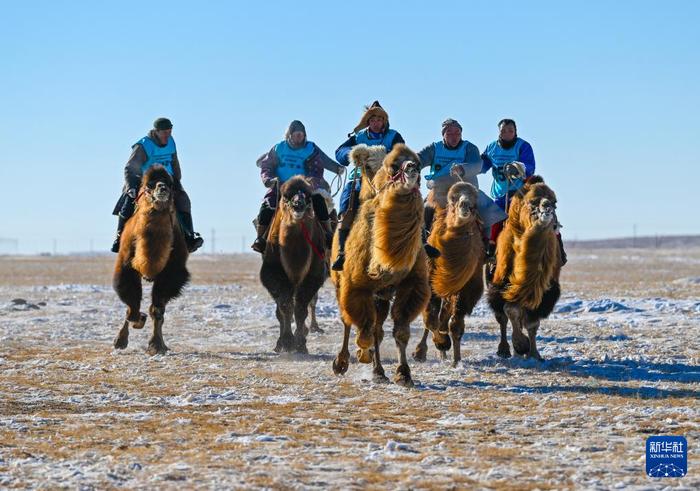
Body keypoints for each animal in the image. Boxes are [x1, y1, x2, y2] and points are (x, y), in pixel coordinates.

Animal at [113, 167, 190, 356]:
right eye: (149, 185)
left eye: (169, 183)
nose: (162, 188)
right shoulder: (126, 266)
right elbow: (131, 305)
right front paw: (124, 337)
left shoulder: (172, 272)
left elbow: (157, 309)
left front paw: (156, 345)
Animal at [260, 177, 328, 354]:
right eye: (286, 196)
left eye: (309, 196)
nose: (299, 204)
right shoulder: (273, 273)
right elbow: (285, 306)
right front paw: (286, 342)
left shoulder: (314, 274)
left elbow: (301, 308)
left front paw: (300, 344)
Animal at [330, 143, 432, 388]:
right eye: (394, 165)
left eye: (418, 161)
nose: (412, 168)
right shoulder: (356, 287)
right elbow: (364, 331)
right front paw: (361, 354)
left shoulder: (411, 285)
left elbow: (400, 331)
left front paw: (404, 374)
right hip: (340, 283)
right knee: (349, 321)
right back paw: (343, 362)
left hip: (382, 295)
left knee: (377, 326)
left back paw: (378, 371)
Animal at [412, 183, 484, 368]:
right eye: (453, 200)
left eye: (475, 201)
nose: (466, 205)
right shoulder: (430, 279)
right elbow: (430, 319)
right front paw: (441, 343)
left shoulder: (468, 285)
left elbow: (455, 323)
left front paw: (456, 359)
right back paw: (422, 352)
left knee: (444, 314)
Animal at [486, 177, 564, 362]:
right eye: (532, 201)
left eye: (555, 202)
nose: (547, 207)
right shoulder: (501, 285)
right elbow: (510, 311)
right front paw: (520, 345)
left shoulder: (546, 291)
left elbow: (532, 323)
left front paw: (534, 354)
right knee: (502, 318)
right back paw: (504, 350)